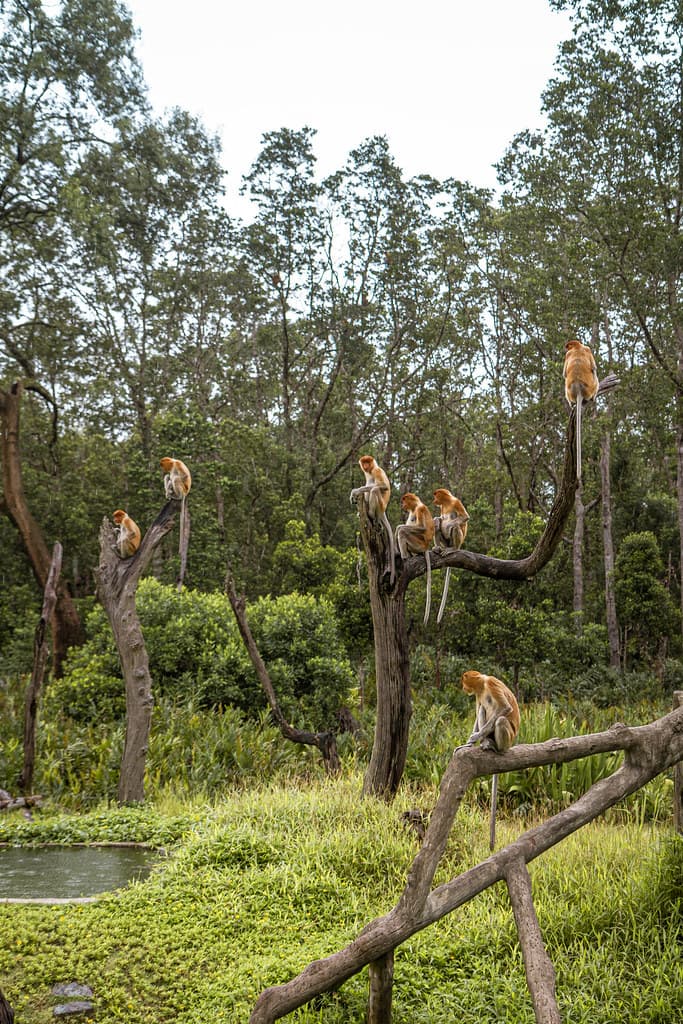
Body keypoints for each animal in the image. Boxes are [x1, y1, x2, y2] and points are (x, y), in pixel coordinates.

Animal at [350, 455, 396, 584]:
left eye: (368, 462)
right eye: (364, 462)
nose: (365, 466)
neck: (371, 469)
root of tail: (383, 511)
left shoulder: (376, 471)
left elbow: (383, 486)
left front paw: (355, 491)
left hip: (380, 506)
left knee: (374, 489)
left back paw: (371, 515)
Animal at [396, 492, 435, 625]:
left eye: (403, 501)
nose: (402, 505)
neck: (415, 506)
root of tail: (426, 547)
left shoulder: (420, 509)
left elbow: (421, 527)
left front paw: (398, 527)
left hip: (417, 544)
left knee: (404, 533)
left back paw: (404, 557)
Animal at [432, 488, 469, 624]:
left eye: (435, 495)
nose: (434, 500)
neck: (447, 503)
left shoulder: (456, 502)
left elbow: (464, 517)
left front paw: (448, 526)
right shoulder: (443, 508)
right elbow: (440, 518)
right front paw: (439, 520)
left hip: (456, 542)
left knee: (456, 526)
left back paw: (453, 549)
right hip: (445, 542)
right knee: (437, 523)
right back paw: (438, 548)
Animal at [460, 670, 520, 851]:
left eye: (463, 681)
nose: (463, 687)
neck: (482, 685)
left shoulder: (491, 684)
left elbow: (505, 708)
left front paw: (475, 737)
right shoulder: (478, 695)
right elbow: (478, 709)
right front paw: (468, 743)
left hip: (508, 737)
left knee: (500, 720)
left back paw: (494, 747)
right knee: (481, 709)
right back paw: (486, 742)